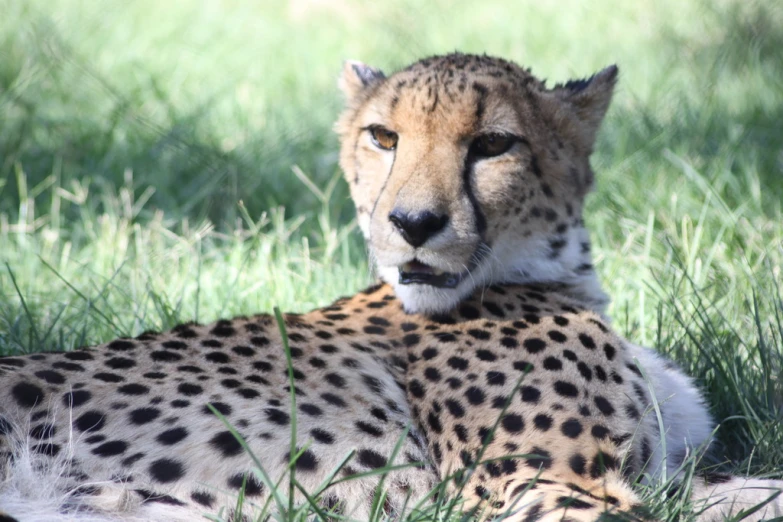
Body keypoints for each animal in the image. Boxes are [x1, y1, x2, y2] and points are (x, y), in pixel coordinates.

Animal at [0, 51, 780, 520]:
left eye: (493, 144)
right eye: (383, 137)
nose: (412, 223)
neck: (554, 275)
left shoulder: (661, 473)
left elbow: (747, 489)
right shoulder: (535, 490)